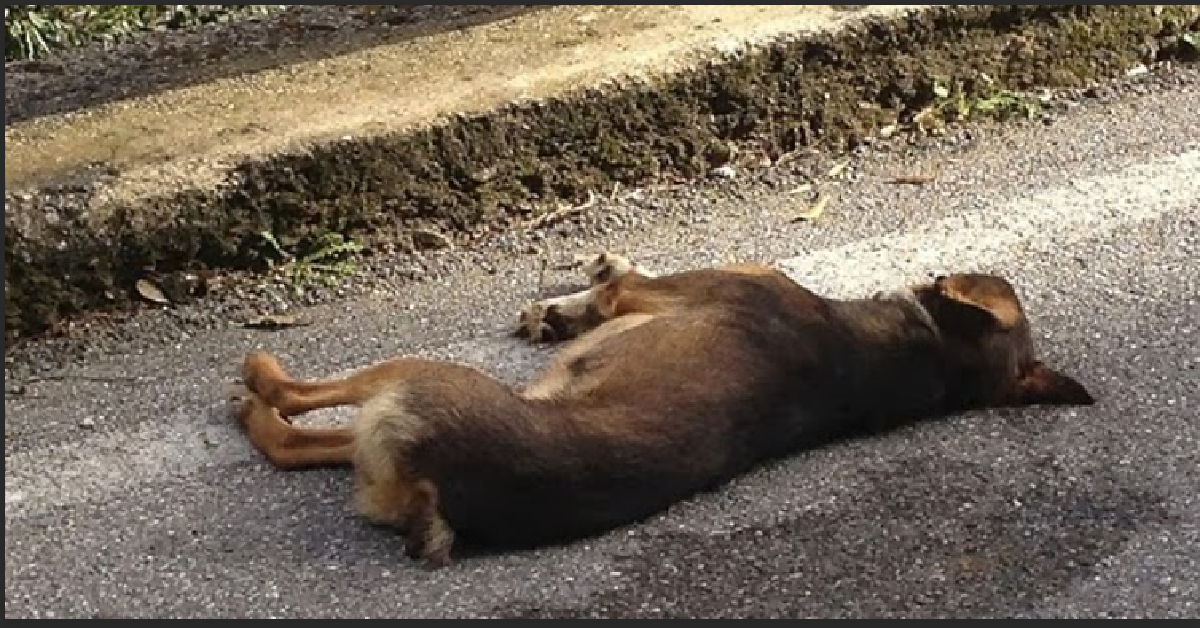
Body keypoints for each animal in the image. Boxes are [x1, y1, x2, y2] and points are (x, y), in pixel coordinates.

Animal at [226, 252, 1099, 569]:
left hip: (412, 378)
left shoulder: (661, 293)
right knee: (303, 444)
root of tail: (447, 496)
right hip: (383, 429)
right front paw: (562, 311)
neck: (919, 357)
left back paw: (258, 379)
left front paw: (578, 294)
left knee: (294, 416)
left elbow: (621, 281)